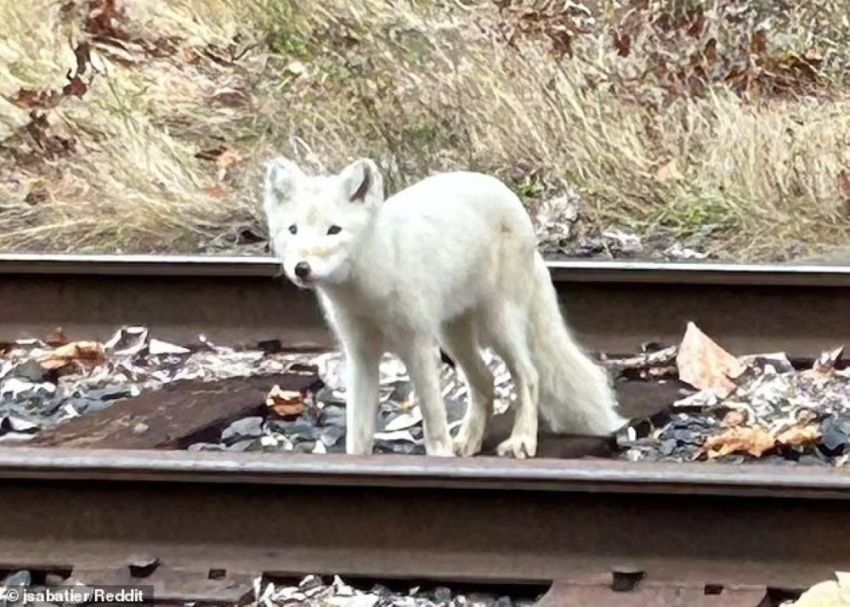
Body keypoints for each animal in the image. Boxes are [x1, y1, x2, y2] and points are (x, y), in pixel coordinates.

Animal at [262, 159, 628, 458]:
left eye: (333, 230)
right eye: (293, 230)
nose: (301, 269)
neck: (370, 287)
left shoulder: (418, 348)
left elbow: (434, 423)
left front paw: (440, 459)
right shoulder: (360, 354)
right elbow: (358, 433)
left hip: (498, 327)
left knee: (529, 376)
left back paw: (521, 441)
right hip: (454, 335)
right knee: (486, 381)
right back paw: (467, 442)